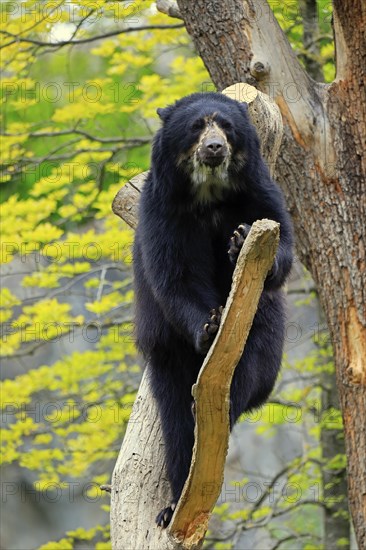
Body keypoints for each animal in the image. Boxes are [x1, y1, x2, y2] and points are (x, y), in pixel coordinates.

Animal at [133, 92, 294, 528]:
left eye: (226, 126)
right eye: (195, 127)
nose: (214, 147)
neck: (207, 194)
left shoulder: (259, 192)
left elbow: (281, 242)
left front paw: (240, 240)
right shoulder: (163, 210)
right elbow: (175, 274)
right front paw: (210, 324)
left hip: (265, 335)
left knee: (247, 373)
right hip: (167, 357)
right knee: (176, 426)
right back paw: (172, 505)